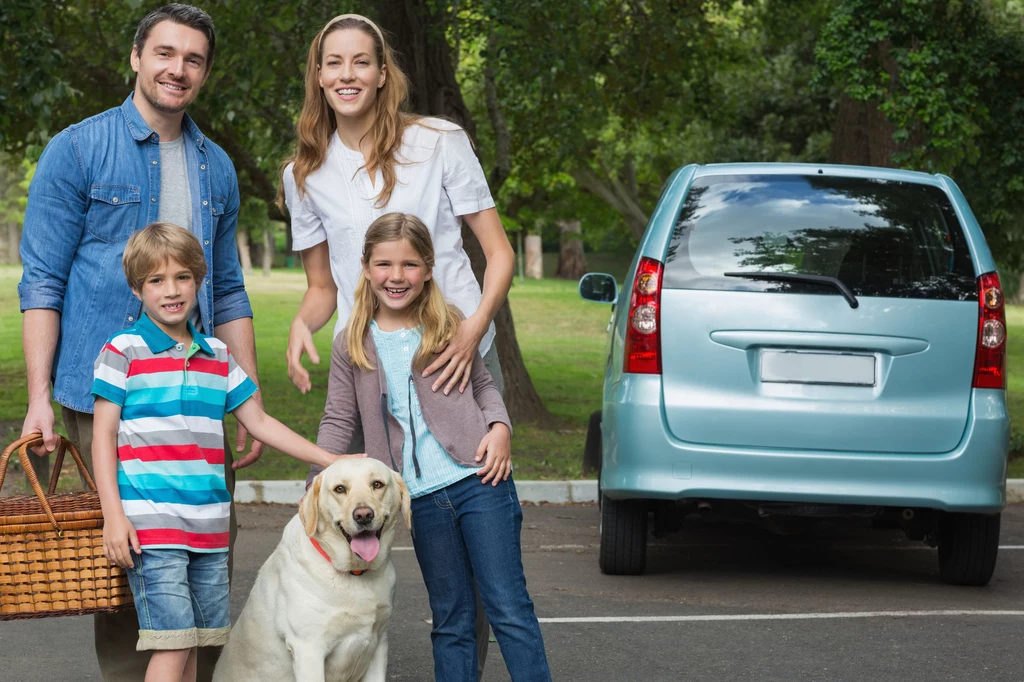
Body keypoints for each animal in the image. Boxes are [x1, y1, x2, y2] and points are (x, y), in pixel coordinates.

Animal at [214, 456, 409, 679]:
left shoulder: (378, 644)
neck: (355, 573)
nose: (363, 515)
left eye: (377, 484)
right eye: (340, 489)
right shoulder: (309, 649)